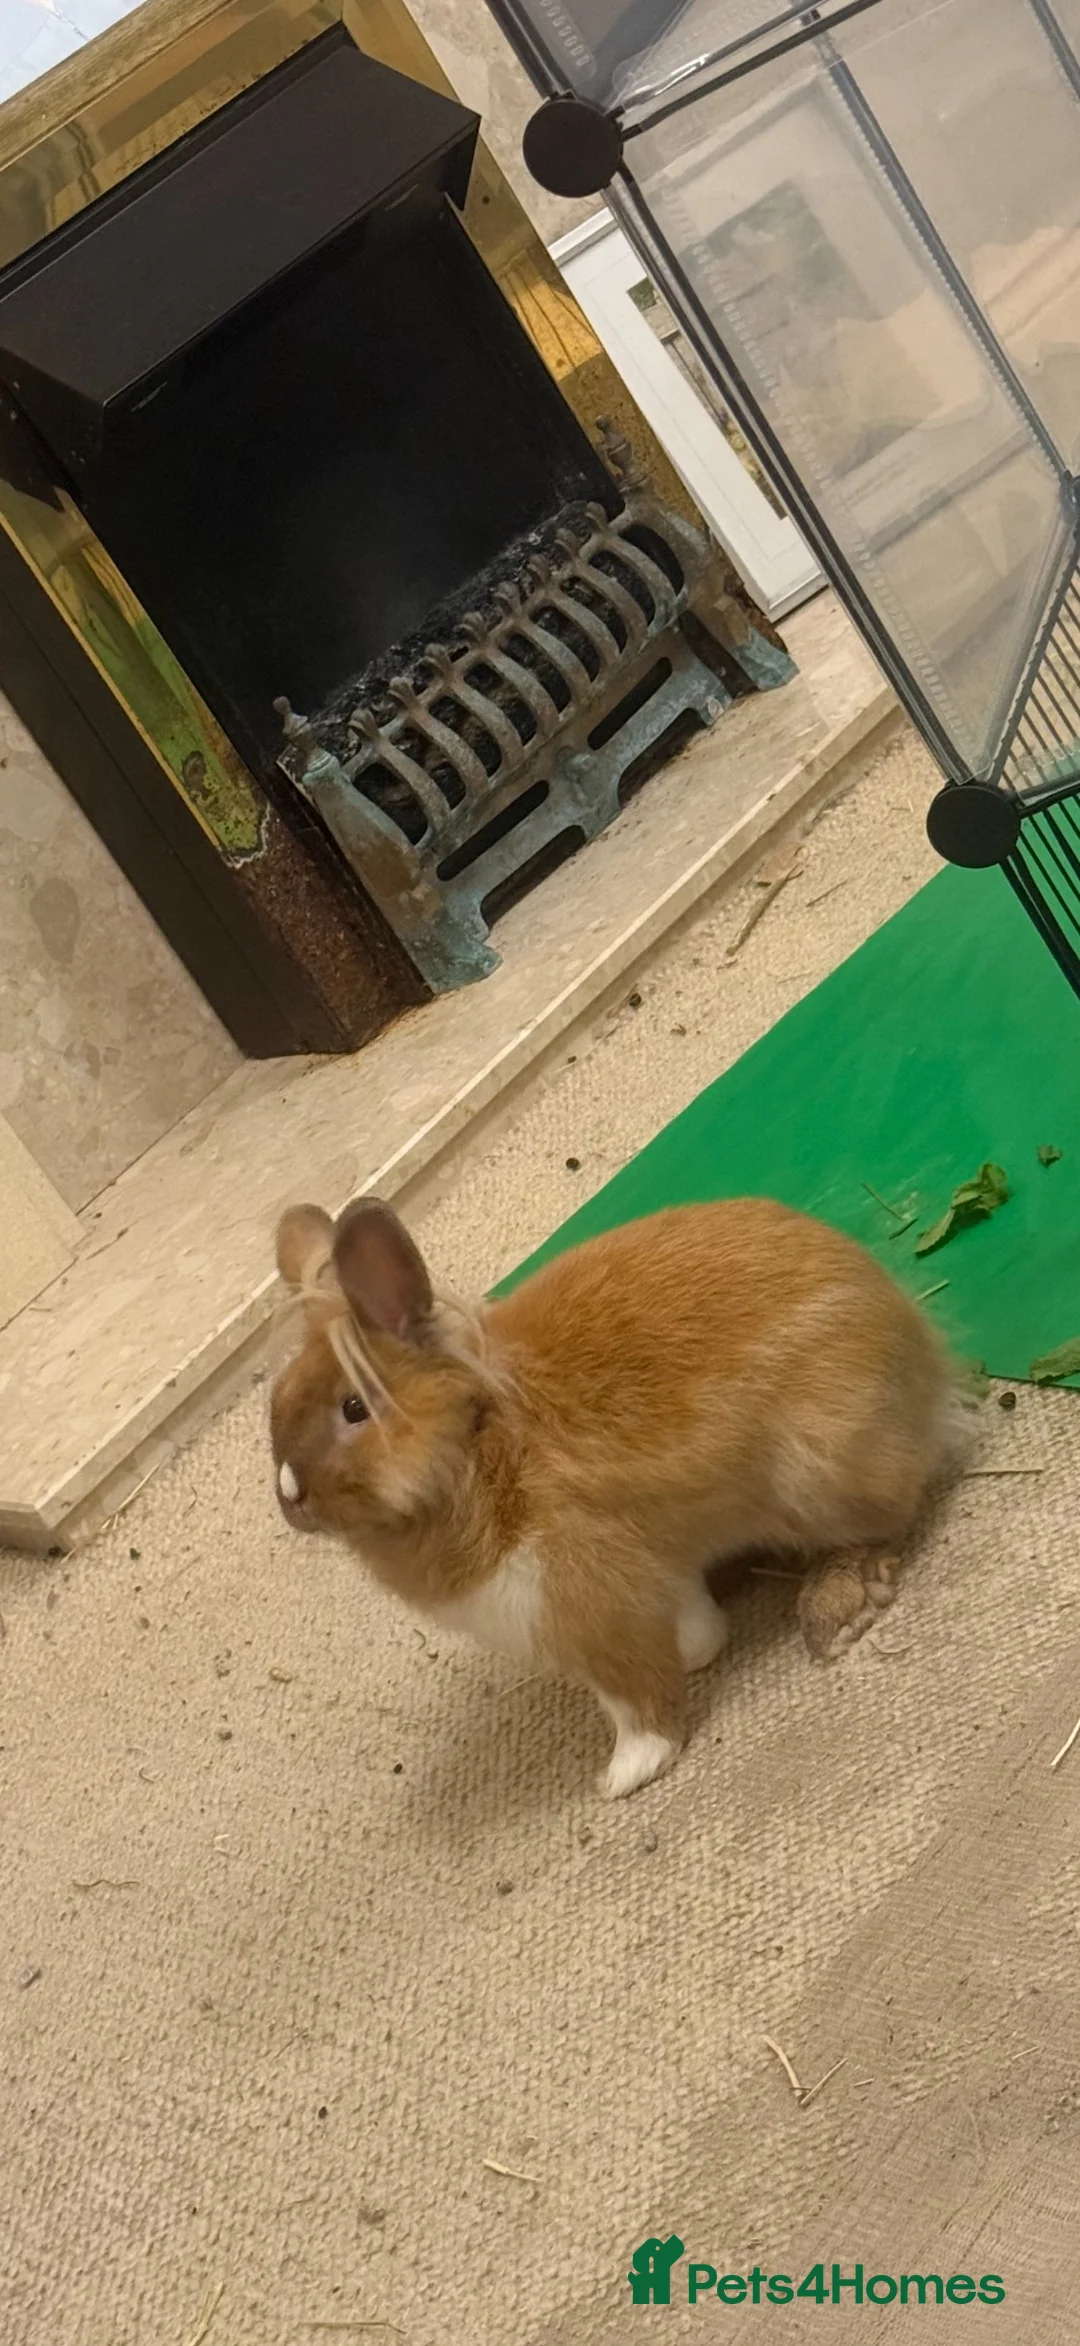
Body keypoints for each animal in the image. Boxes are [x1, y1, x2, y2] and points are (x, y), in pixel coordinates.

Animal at [269, 1194, 965, 1799]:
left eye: (354, 1408)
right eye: (275, 1403)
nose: (289, 1494)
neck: (479, 1447)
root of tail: (924, 1367)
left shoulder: (590, 1604)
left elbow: (635, 1697)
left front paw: (627, 1774)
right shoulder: (653, 1570)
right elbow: (685, 1623)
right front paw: (703, 1648)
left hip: (819, 1472)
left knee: (885, 1521)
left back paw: (838, 1606)